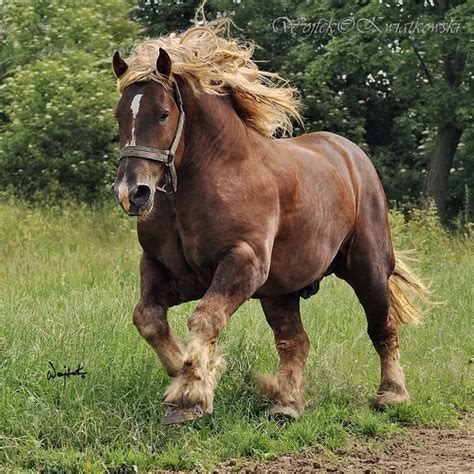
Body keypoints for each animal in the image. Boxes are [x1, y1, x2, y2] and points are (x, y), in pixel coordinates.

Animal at [112, 21, 430, 426]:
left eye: (163, 114)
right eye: (120, 115)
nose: (131, 193)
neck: (207, 177)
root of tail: (353, 156)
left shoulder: (243, 262)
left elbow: (205, 319)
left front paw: (191, 394)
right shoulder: (167, 270)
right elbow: (149, 318)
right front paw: (196, 371)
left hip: (368, 269)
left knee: (382, 326)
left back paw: (391, 394)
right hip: (280, 291)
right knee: (294, 341)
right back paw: (286, 402)